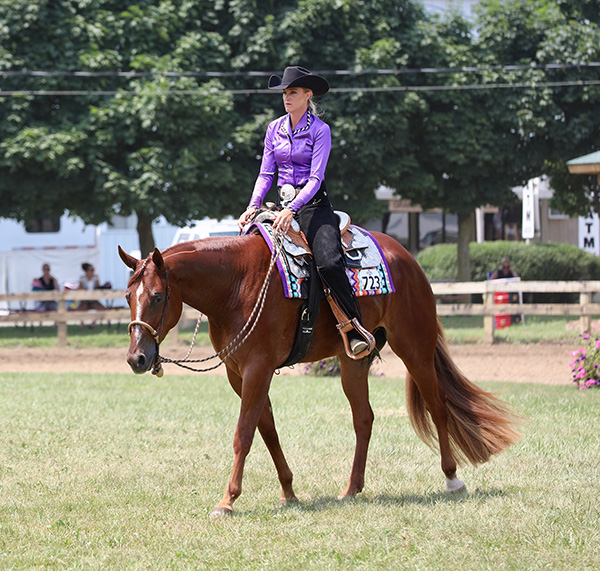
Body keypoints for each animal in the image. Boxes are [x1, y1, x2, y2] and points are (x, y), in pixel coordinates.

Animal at [118, 231, 520, 520]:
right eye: (126, 297)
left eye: (157, 296)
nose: (137, 358)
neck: (237, 284)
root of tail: (406, 257)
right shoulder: (239, 374)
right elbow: (267, 431)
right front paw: (289, 492)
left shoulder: (258, 368)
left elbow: (244, 434)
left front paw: (227, 500)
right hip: (354, 360)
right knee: (364, 418)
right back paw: (352, 488)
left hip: (415, 348)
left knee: (437, 406)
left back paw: (452, 479)